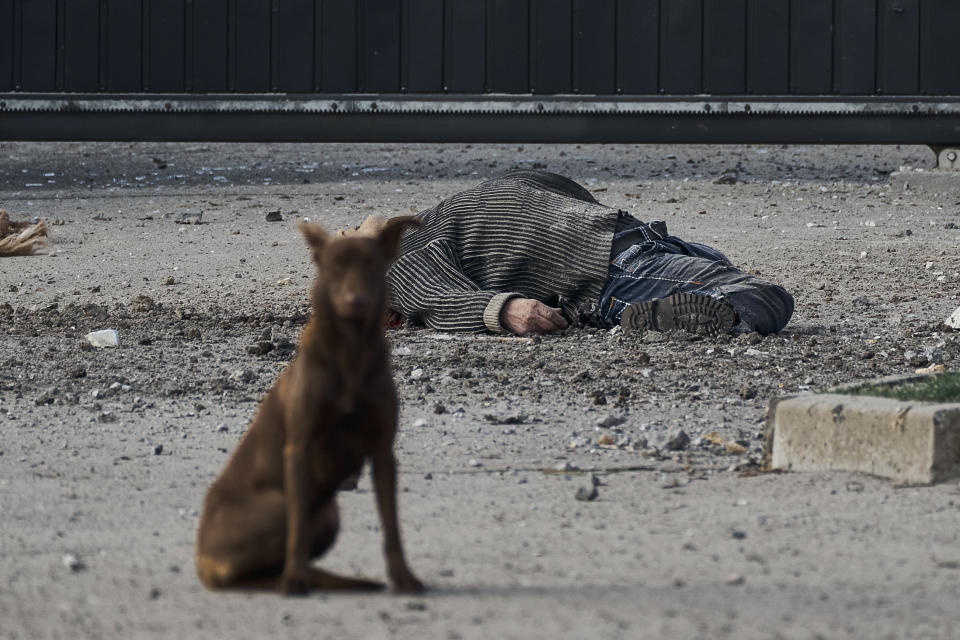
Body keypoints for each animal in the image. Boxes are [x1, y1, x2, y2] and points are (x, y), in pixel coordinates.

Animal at [193, 215, 422, 596]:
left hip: (329, 513)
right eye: (334, 268)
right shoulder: (299, 449)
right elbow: (297, 528)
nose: (356, 301)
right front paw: (295, 580)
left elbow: (392, 526)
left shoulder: (382, 451)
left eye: (372, 266)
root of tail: (201, 560)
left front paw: (404, 577)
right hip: (281, 504)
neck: (351, 354)